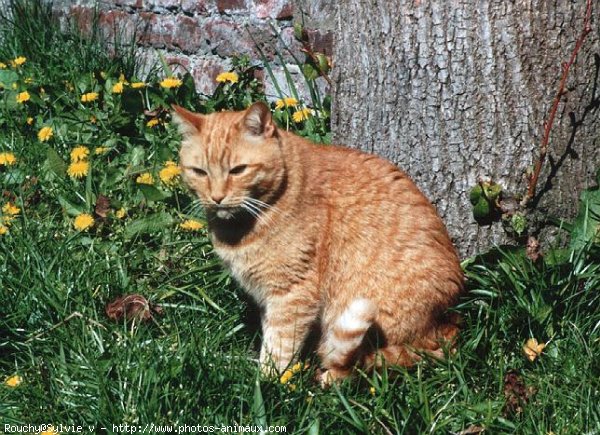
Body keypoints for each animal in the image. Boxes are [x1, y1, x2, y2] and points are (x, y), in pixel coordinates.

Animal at [173, 103, 464, 384]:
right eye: (199, 172)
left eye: (237, 170)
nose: (217, 198)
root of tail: (450, 323)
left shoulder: (291, 293)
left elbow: (279, 345)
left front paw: (267, 383)